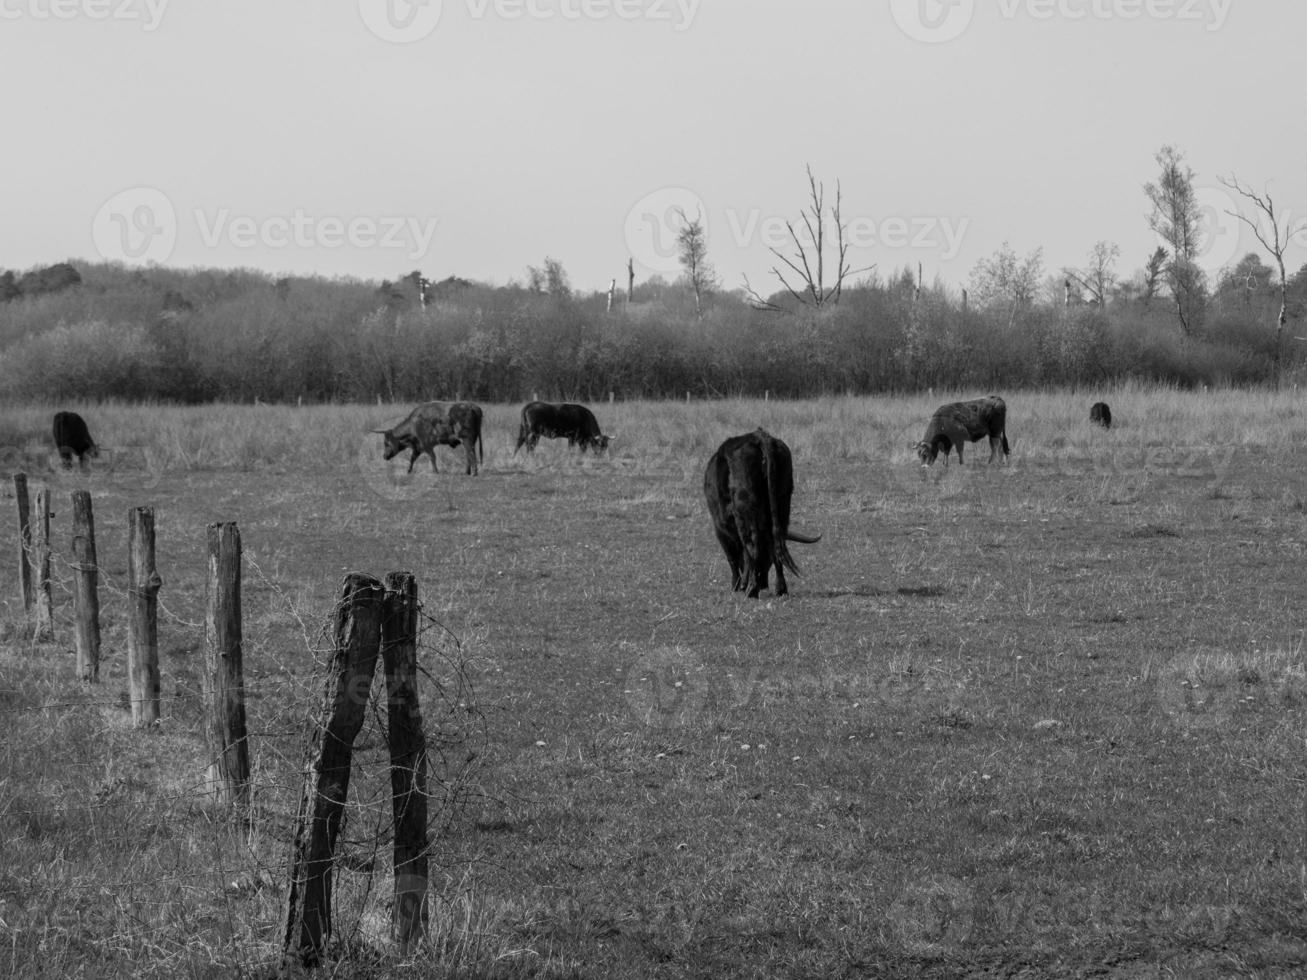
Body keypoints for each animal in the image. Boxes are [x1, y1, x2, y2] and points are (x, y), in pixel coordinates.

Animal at [705, 428, 815, 598]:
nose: (763, 583)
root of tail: (760, 437)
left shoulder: (721, 528)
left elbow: (734, 557)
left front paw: (737, 585)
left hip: (746, 510)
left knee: (752, 545)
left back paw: (751, 589)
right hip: (782, 503)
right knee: (776, 543)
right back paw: (779, 588)